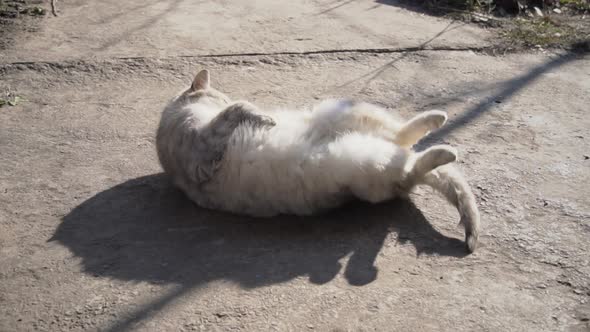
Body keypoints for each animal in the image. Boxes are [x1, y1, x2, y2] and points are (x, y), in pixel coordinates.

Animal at [156, 69, 480, 252]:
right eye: (219, 97)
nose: (223, 100)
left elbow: (238, 109)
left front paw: (262, 116)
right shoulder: (202, 151)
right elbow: (237, 110)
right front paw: (260, 116)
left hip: (345, 112)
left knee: (404, 139)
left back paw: (437, 119)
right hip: (367, 162)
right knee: (411, 166)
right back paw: (444, 149)